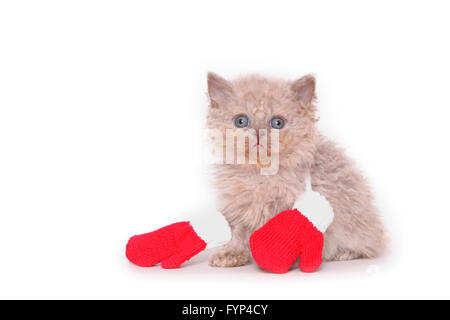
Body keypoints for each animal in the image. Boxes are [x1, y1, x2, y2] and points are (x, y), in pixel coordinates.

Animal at [207, 72, 386, 268]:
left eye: (277, 122)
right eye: (241, 121)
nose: (259, 132)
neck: (261, 171)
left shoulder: (288, 207)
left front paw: (280, 258)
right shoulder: (238, 206)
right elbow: (238, 234)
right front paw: (232, 254)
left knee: (365, 246)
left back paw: (345, 253)